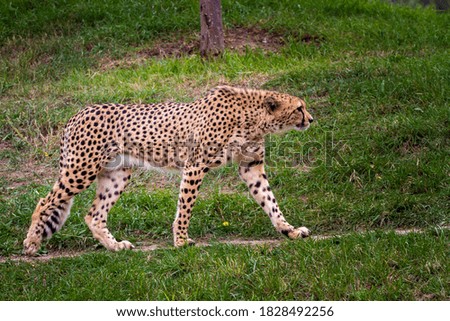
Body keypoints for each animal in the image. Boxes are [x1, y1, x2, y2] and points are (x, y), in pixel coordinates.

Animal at [23, 85, 312, 255]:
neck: (253, 117)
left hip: (117, 174)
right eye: (299, 108)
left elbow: (270, 201)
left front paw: (289, 230)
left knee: (94, 215)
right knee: (45, 201)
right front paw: (181, 241)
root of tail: (77, 113)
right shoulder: (195, 165)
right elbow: (186, 206)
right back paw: (32, 242)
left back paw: (115, 246)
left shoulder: (250, 166)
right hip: (82, 169)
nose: (311, 119)